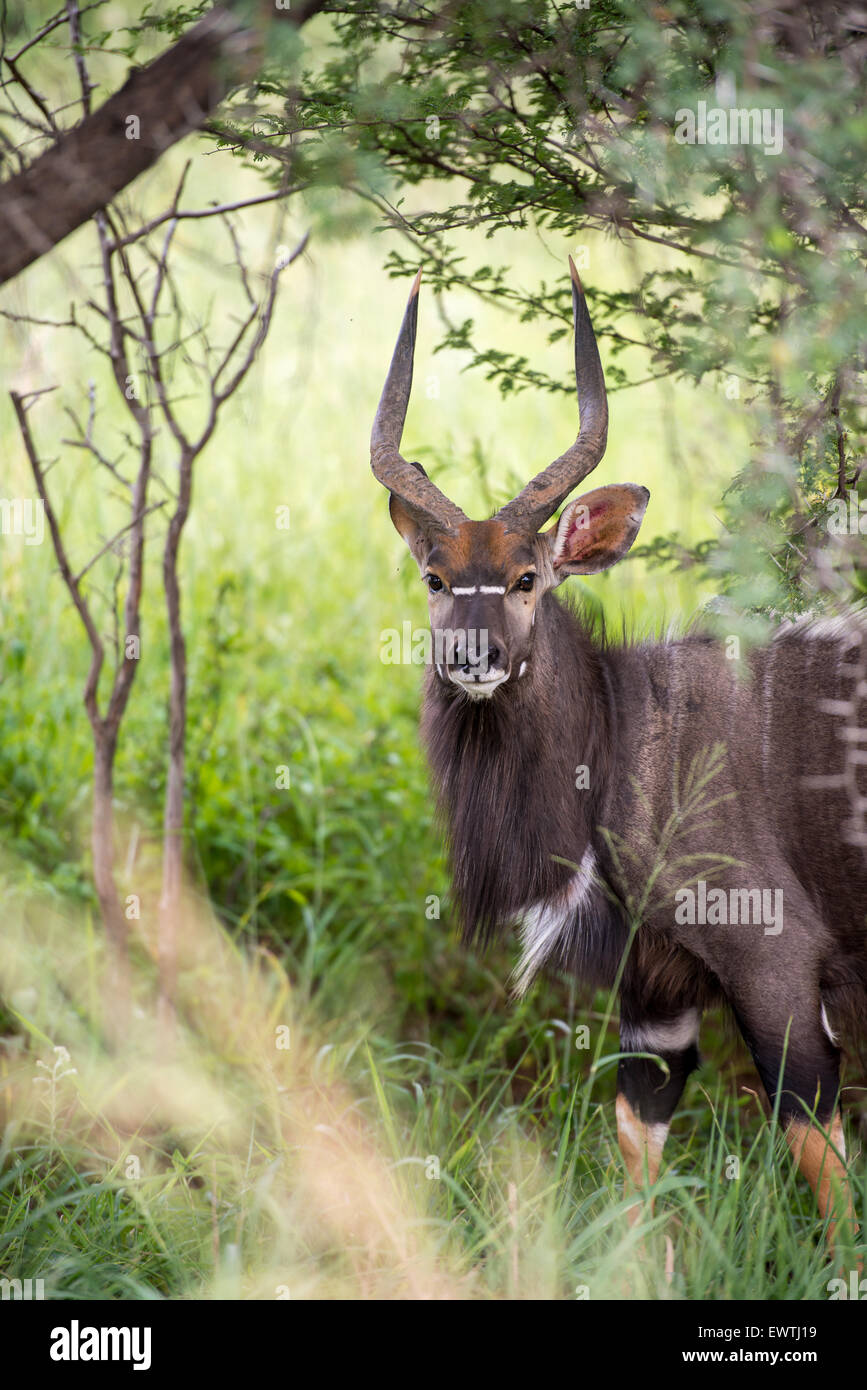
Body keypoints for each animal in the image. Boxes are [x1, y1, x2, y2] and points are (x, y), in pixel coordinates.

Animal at [369, 258, 861, 1251]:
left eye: (527, 577)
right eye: (435, 578)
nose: (471, 658)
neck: (625, 737)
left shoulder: (776, 960)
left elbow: (820, 1155)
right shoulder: (653, 992)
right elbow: (638, 1148)